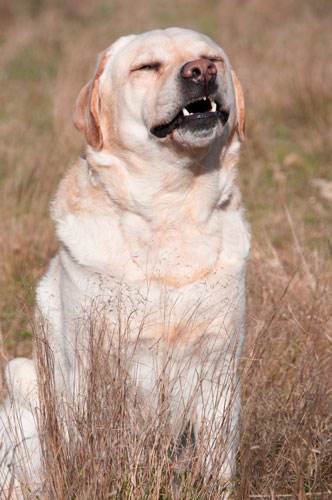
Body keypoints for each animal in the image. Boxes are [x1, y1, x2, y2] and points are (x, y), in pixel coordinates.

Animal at [0, 29, 249, 498]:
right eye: (146, 67)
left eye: (212, 58)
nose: (201, 72)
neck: (171, 213)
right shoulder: (91, 369)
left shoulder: (219, 367)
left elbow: (218, 465)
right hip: (22, 378)